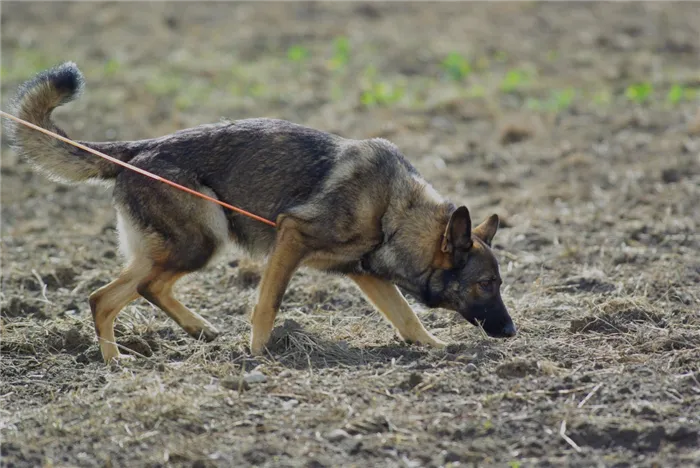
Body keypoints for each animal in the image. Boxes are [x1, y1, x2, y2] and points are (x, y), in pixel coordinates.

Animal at [5, 62, 516, 362]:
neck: (395, 212)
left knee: (116, 294)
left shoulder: (365, 273)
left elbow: (407, 317)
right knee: (126, 292)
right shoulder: (291, 238)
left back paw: (161, 344)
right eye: (485, 284)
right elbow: (267, 304)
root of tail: (138, 149)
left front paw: (434, 347)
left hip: (178, 249)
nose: (512, 331)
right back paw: (124, 358)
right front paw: (256, 353)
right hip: (202, 240)